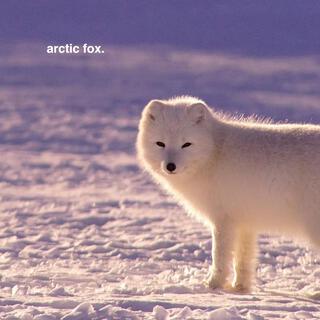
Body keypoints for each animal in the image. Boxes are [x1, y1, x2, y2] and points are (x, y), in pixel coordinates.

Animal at [136, 96, 320, 294]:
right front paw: (240, 288)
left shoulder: (223, 220)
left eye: (186, 144)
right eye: (160, 143)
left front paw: (213, 285)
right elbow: (243, 259)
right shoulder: (245, 222)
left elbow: (219, 256)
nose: (170, 166)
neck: (213, 152)